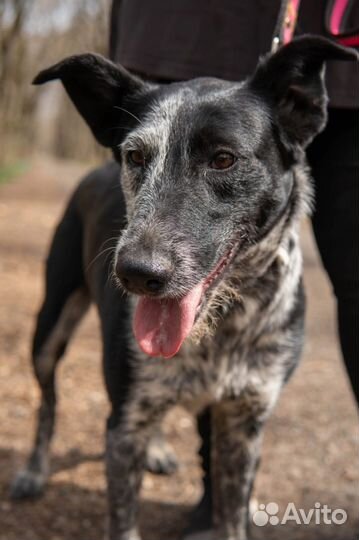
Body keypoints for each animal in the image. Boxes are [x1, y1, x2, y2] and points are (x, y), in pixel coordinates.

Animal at [9, 38, 358, 540]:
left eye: (223, 159)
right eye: (135, 156)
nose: (136, 273)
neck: (222, 324)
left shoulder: (244, 424)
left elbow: (232, 514)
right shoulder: (123, 426)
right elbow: (123, 518)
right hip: (49, 327)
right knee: (48, 402)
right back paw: (34, 471)